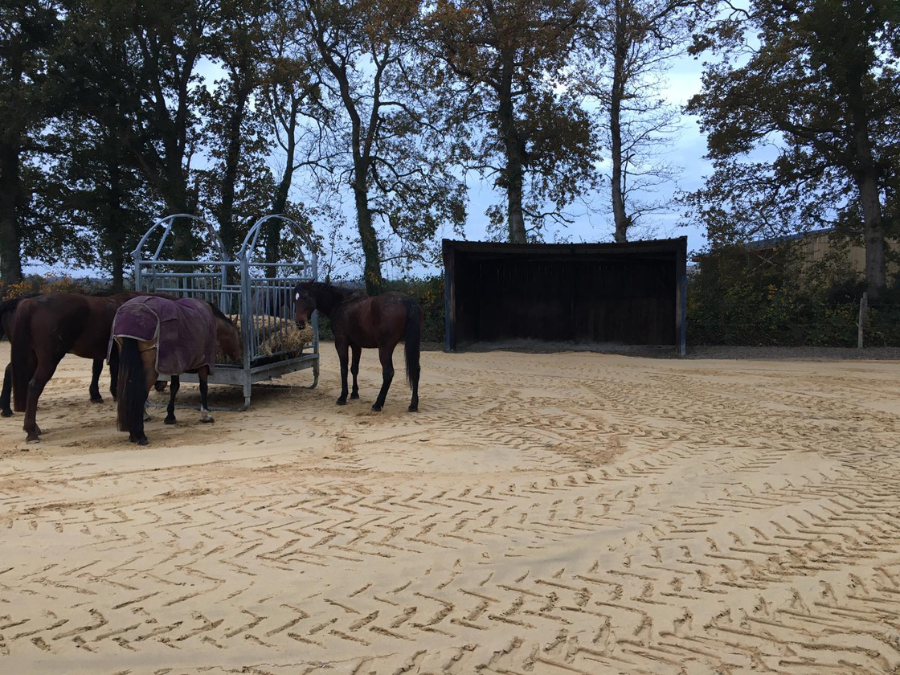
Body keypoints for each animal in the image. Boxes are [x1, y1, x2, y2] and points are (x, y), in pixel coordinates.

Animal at [10, 292, 169, 444]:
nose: (162, 385)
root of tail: (33, 303)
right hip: (49, 360)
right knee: (34, 387)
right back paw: (31, 432)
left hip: (32, 358)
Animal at [110, 298, 241, 446]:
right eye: (238, 333)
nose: (238, 356)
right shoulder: (203, 363)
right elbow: (203, 387)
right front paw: (206, 415)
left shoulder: (174, 364)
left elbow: (174, 387)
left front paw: (170, 416)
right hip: (150, 372)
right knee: (140, 395)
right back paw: (140, 435)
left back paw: (134, 433)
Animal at [294, 282, 424, 412]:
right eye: (294, 299)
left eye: (305, 296)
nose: (299, 323)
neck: (340, 303)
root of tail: (407, 301)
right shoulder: (356, 345)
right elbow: (354, 368)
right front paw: (354, 394)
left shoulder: (341, 342)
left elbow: (344, 369)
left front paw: (342, 397)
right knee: (416, 369)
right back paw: (413, 405)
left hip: (385, 348)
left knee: (388, 372)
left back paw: (377, 404)